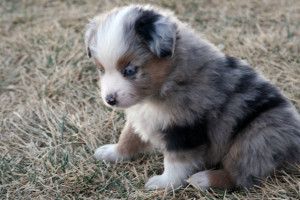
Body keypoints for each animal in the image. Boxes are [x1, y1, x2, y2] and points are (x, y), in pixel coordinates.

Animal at [84, 4, 300, 189]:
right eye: (101, 69)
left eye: (129, 70)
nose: (110, 100)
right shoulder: (142, 116)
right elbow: (129, 136)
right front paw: (113, 152)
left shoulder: (184, 128)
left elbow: (176, 163)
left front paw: (164, 183)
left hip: (256, 138)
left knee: (239, 175)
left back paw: (203, 179)